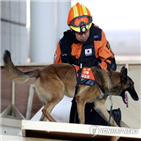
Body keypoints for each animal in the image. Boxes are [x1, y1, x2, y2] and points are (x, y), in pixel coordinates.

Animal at [3, 50, 139, 140]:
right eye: (132, 85)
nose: (137, 98)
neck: (107, 80)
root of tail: (40, 71)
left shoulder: (98, 107)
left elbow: (113, 121)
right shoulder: (81, 100)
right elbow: (83, 121)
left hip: (52, 98)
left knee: (43, 114)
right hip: (59, 94)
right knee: (45, 110)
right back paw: (57, 124)